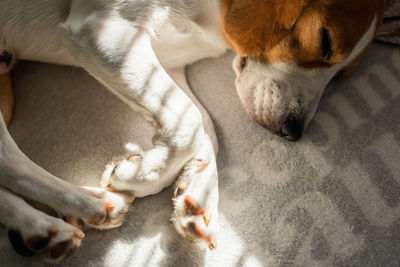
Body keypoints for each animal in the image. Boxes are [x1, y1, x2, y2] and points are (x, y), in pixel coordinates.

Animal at [0, 0, 386, 264]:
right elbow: (191, 123)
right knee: (11, 161)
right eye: (325, 41)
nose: (293, 131)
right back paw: (89, 204)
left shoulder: (170, 65)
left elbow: (204, 127)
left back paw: (38, 228)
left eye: (343, 75)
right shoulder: (106, 32)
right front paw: (137, 174)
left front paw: (196, 193)